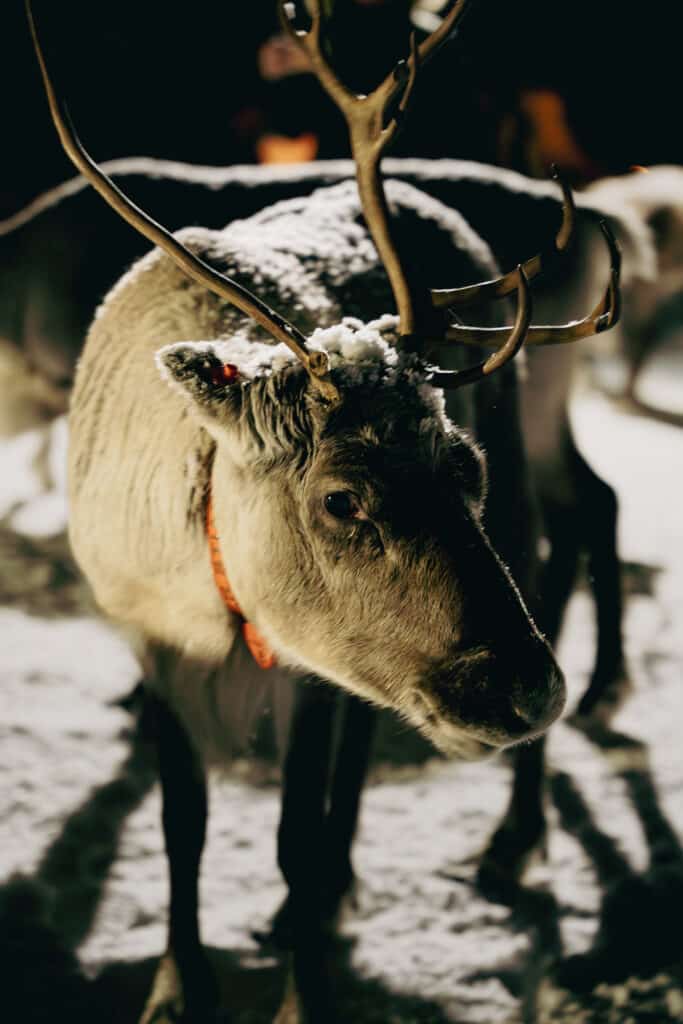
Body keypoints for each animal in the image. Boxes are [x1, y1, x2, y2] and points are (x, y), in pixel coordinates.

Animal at [26, 0, 623, 1019]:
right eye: (342, 497)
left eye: (463, 467)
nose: (528, 691)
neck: (216, 586)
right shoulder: (152, 637)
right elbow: (183, 823)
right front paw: (178, 986)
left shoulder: (303, 660)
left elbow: (293, 841)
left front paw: (305, 989)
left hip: (515, 466)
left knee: (554, 550)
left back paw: (509, 842)